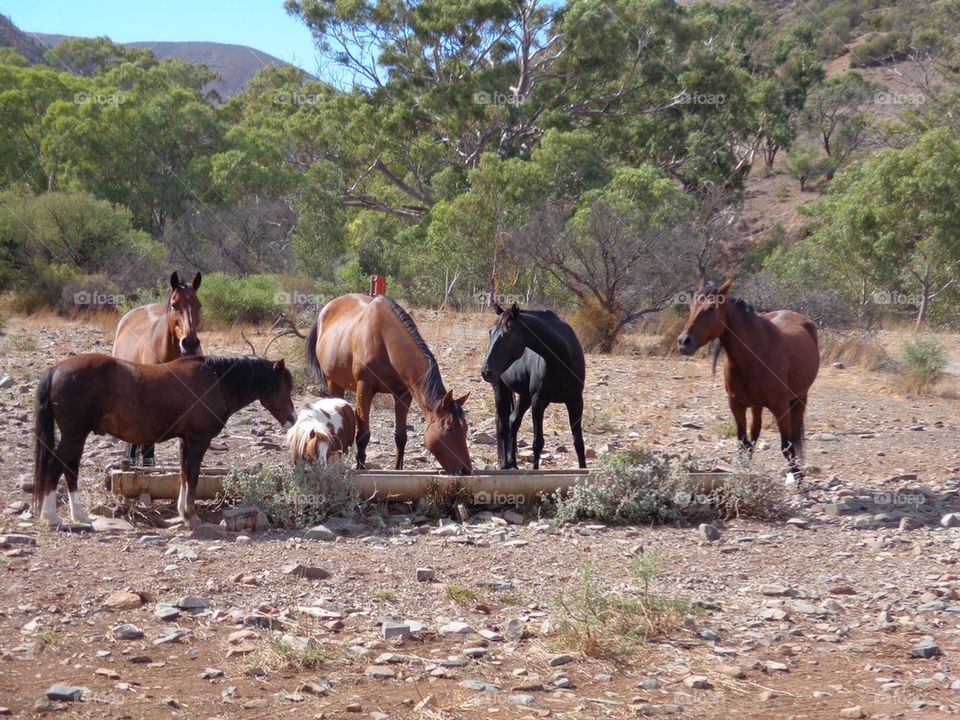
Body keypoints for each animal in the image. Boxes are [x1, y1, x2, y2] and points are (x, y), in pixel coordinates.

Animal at [34, 354, 295, 529]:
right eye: (285, 387)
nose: (292, 418)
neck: (216, 380)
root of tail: (55, 370)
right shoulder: (198, 440)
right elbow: (193, 476)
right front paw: (191, 516)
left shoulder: (185, 441)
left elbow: (184, 475)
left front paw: (183, 512)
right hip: (74, 435)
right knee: (55, 467)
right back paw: (51, 517)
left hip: (77, 436)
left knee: (70, 470)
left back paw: (79, 516)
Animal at [305, 294, 471, 475]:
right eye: (449, 429)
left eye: (465, 428)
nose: (466, 470)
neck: (385, 342)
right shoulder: (365, 387)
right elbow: (363, 435)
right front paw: (360, 468)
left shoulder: (403, 394)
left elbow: (401, 436)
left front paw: (398, 469)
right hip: (333, 382)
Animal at [480, 303, 587, 469]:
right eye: (491, 332)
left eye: (508, 333)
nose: (486, 371)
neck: (561, 359)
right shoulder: (539, 402)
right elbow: (538, 443)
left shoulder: (575, 401)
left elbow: (578, 443)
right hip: (501, 390)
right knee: (503, 426)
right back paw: (504, 464)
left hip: (525, 397)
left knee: (512, 422)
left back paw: (513, 463)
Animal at [676, 279, 819, 476]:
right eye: (691, 306)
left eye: (711, 308)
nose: (683, 342)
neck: (755, 356)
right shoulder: (736, 405)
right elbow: (744, 442)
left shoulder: (780, 407)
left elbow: (787, 446)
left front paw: (797, 478)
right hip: (757, 405)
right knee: (755, 433)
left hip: (800, 398)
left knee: (794, 438)